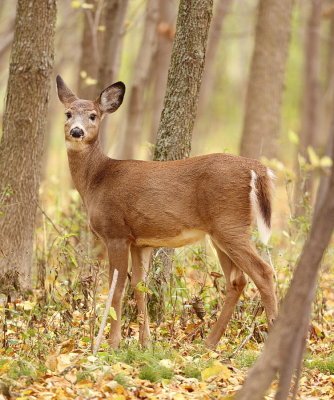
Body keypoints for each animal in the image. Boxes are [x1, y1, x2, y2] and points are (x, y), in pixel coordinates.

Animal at [56, 76, 276, 350]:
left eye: (93, 115)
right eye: (68, 113)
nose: (77, 131)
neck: (96, 181)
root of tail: (257, 168)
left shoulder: (115, 232)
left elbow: (116, 288)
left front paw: (114, 344)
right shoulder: (140, 242)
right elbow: (140, 286)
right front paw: (145, 343)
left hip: (230, 224)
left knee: (264, 272)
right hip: (221, 232)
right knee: (237, 281)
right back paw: (208, 345)